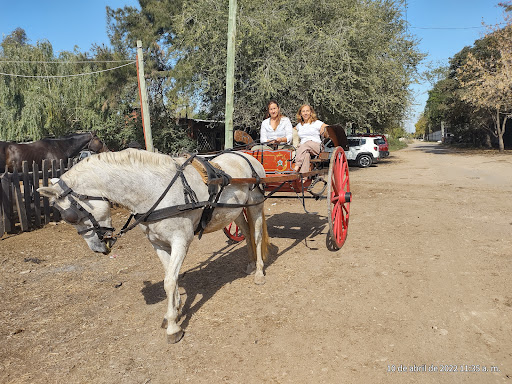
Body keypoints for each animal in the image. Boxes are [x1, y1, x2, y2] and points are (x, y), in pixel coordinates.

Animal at [38, 148, 270, 344]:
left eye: (70, 216)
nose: (97, 248)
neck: (154, 190)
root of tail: (247, 155)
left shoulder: (180, 241)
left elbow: (169, 281)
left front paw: (174, 328)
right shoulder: (158, 244)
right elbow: (170, 277)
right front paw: (173, 312)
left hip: (255, 204)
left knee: (257, 235)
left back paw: (259, 272)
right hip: (236, 211)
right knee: (246, 233)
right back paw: (250, 264)